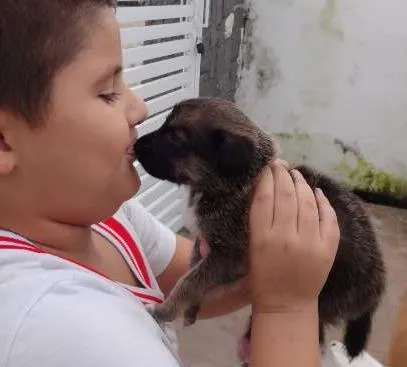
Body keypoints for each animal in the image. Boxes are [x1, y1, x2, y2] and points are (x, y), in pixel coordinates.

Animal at [135, 96, 388, 360]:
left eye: (175, 137)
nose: (135, 144)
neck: (236, 182)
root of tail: (375, 290)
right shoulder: (207, 244)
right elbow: (192, 269)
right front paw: (192, 308)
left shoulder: (227, 256)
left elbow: (188, 282)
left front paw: (164, 310)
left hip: (324, 296)